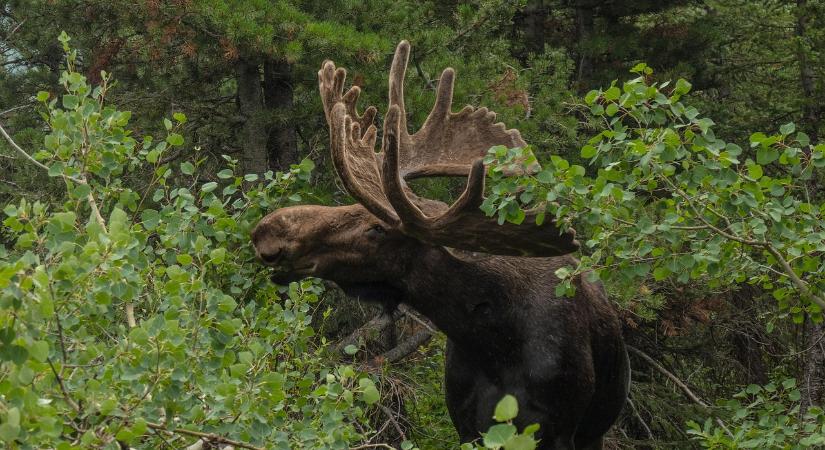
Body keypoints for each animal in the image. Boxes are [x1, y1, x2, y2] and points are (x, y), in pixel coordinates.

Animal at [248, 40, 628, 448]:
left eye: (376, 228)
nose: (266, 229)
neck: (492, 339)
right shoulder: (466, 423)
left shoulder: (556, 429)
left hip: (594, 430)